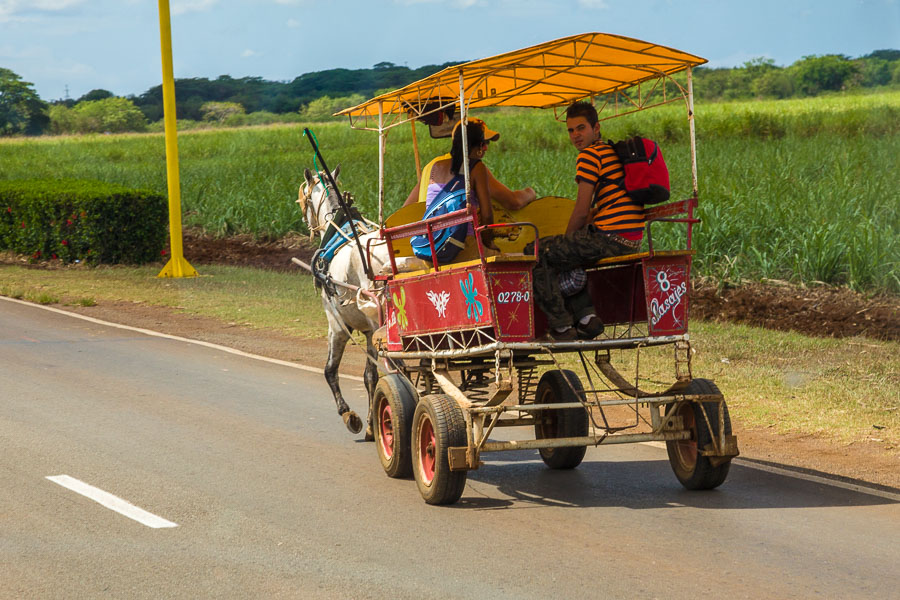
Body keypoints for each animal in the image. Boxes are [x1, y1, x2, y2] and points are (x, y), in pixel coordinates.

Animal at [298, 168, 390, 436]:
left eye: (305, 200)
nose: (305, 221)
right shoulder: (370, 332)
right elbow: (370, 376)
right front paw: (371, 423)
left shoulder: (337, 324)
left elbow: (330, 370)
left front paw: (351, 415)